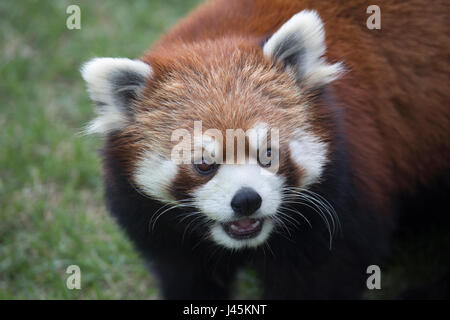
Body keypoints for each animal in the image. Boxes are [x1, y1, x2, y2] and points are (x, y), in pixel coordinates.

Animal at [81, 0, 450, 300]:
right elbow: (185, 273)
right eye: (204, 164)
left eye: (268, 153)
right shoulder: (162, 231)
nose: (246, 200)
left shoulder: (348, 189)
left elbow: (321, 276)